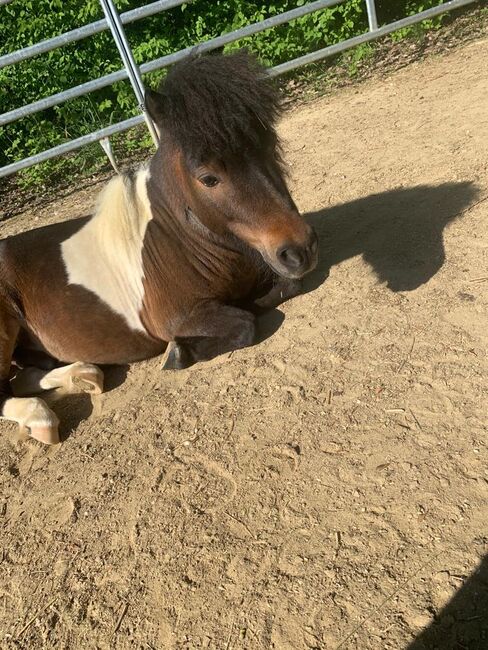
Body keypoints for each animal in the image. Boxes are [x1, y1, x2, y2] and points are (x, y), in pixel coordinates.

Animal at [0, 53, 318, 442]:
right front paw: (180, 351)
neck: (179, 240)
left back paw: (83, 375)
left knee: (25, 377)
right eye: (208, 178)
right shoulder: (175, 317)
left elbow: (286, 287)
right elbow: (244, 323)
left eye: (270, 145)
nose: (300, 249)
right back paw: (40, 417)